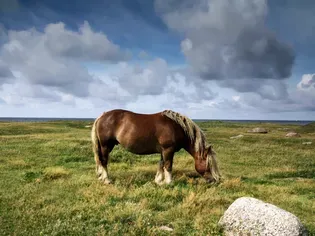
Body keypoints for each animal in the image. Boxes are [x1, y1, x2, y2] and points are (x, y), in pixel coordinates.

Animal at [90, 109, 221, 184]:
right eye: (208, 164)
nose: (213, 181)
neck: (176, 127)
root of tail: (102, 116)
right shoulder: (168, 150)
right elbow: (168, 165)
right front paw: (169, 182)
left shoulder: (164, 151)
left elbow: (161, 164)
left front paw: (158, 181)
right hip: (106, 145)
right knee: (104, 161)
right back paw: (106, 179)